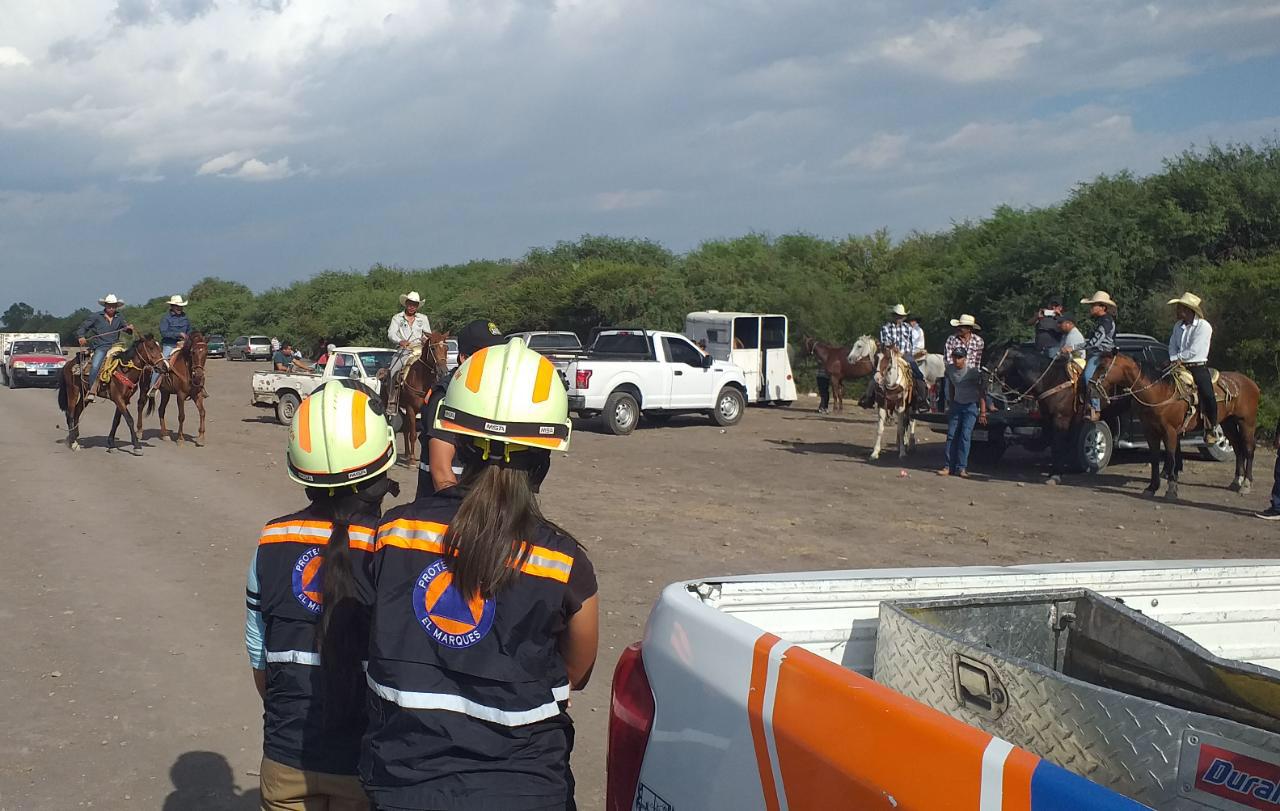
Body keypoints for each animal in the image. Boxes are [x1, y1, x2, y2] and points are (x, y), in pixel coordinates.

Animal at [391, 330, 453, 468]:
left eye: (446, 348)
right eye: (433, 348)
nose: (443, 370)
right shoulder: (411, 409)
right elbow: (413, 434)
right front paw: (412, 461)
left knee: (405, 430)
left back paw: (407, 454)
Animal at [988, 342, 1080, 480]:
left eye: (996, 357)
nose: (983, 370)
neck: (1052, 379)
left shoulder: (1062, 418)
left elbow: (1059, 443)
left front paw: (1056, 473)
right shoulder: (1048, 418)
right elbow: (1053, 442)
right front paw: (1055, 471)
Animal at [1090, 353, 1259, 498]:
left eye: (1103, 367)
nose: (1091, 386)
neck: (1159, 392)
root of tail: (1251, 383)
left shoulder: (1169, 431)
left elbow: (1171, 457)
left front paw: (1171, 489)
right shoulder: (1150, 431)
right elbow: (1154, 458)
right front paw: (1152, 487)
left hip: (1246, 422)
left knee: (1249, 449)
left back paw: (1246, 484)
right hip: (1228, 422)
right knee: (1237, 448)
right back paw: (1236, 481)